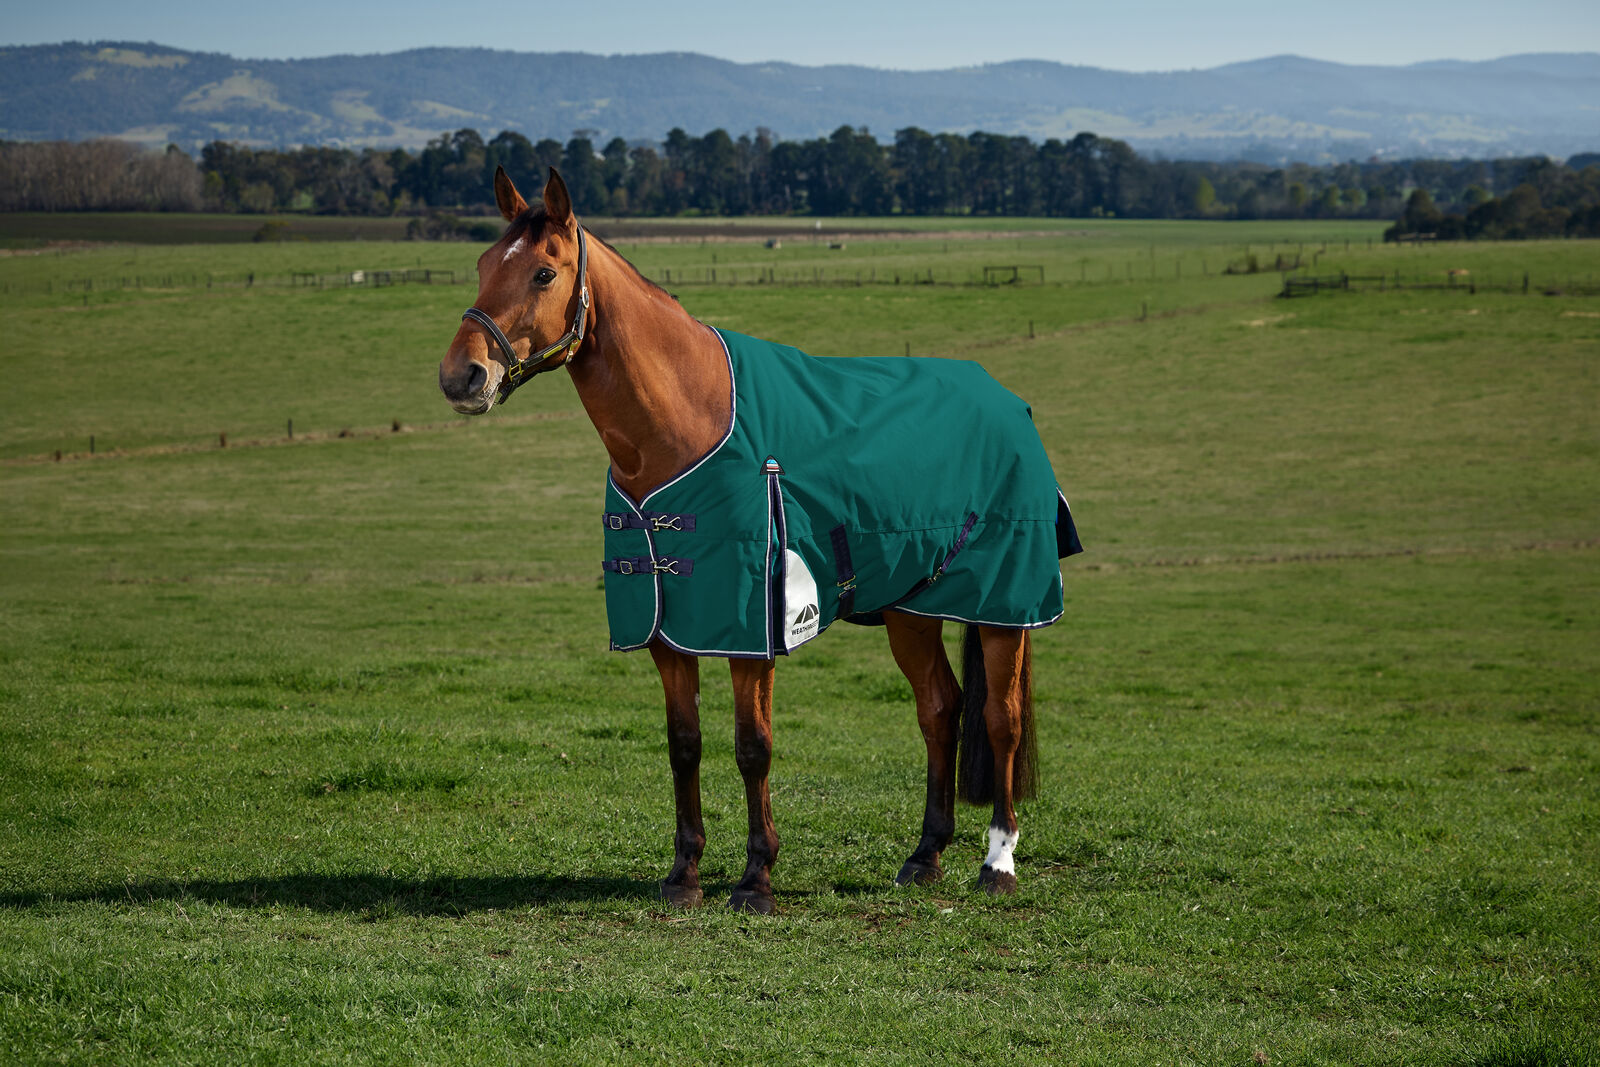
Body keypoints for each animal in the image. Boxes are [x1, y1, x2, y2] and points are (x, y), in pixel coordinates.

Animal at [438, 167, 1080, 914]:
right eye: (483, 265)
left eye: (543, 272)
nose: (462, 376)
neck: (685, 424)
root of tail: (1010, 403)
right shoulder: (669, 632)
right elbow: (683, 744)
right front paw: (684, 873)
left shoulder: (751, 633)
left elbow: (753, 746)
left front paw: (756, 878)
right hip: (911, 608)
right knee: (940, 709)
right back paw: (925, 855)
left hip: (1003, 605)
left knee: (1001, 718)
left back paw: (998, 860)